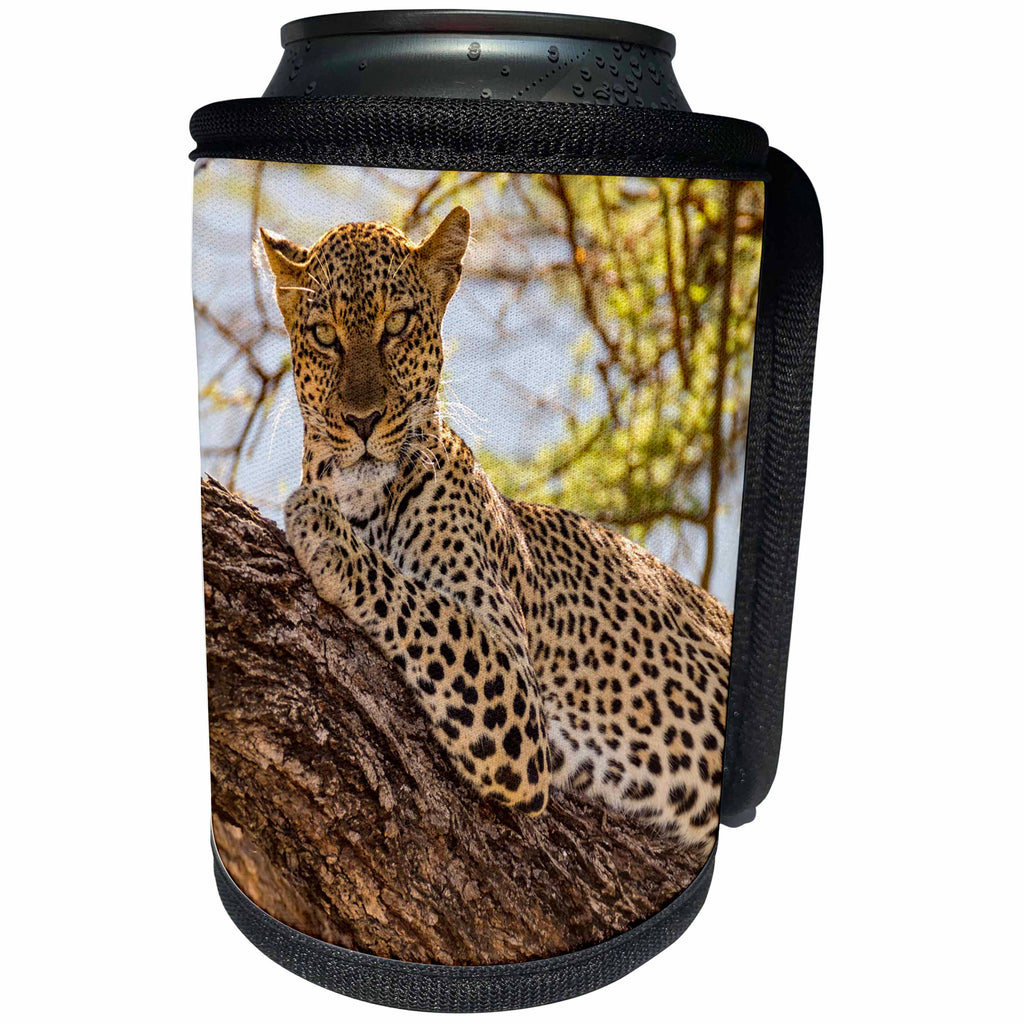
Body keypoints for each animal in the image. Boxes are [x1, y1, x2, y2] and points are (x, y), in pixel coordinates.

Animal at [260, 205, 732, 853]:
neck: (363, 500)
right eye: (325, 335)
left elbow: (420, 601)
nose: (362, 421)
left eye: (397, 324)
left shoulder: (515, 693)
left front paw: (321, 528)